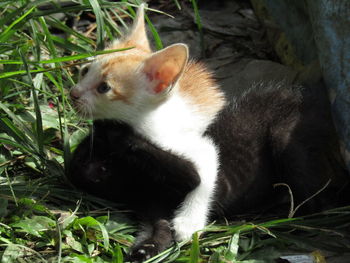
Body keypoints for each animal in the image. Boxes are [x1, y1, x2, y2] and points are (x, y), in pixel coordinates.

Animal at [70, 4, 226, 243]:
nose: (73, 93)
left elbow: (205, 174)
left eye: (104, 88)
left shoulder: (193, 144)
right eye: (85, 71)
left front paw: (189, 222)